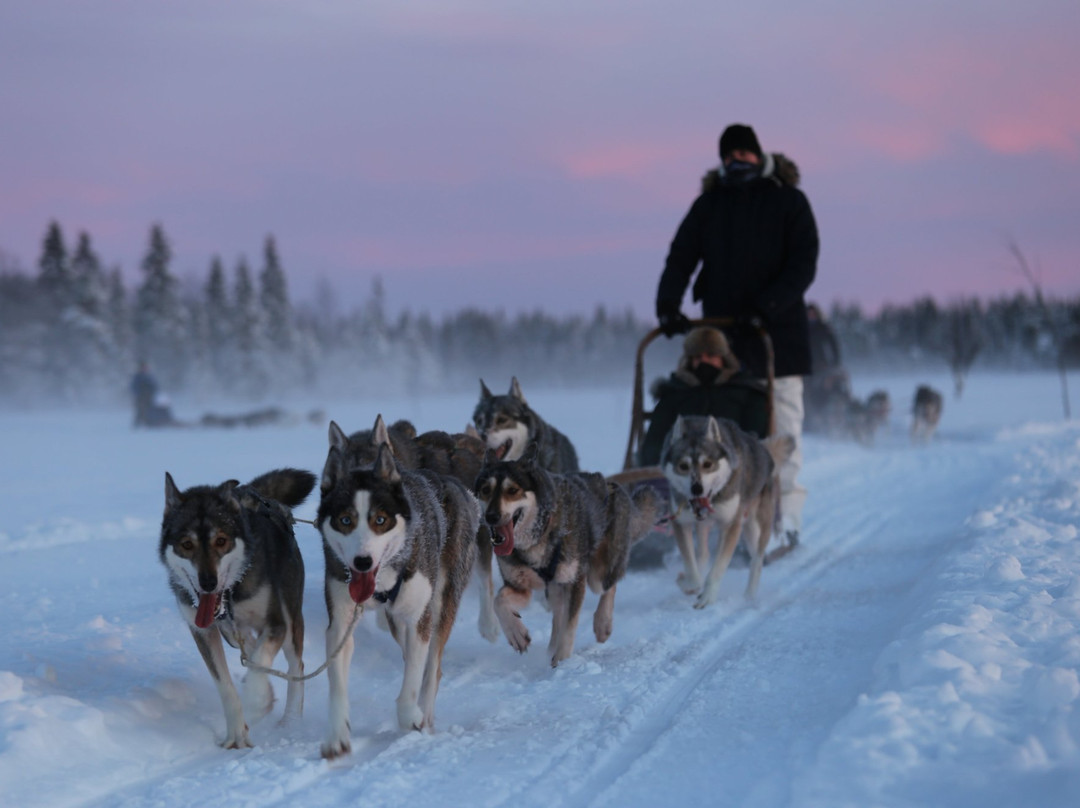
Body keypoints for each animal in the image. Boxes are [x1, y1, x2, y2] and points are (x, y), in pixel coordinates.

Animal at [158, 470, 315, 747]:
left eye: (221, 541)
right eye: (186, 544)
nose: (207, 582)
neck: (232, 595)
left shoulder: (276, 623)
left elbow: (260, 661)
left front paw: (257, 700)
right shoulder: (204, 631)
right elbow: (225, 684)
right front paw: (236, 734)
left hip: (291, 616)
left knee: (296, 666)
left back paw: (291, 720)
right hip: (230, 633)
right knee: (250, 647)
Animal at [315, 436, 477, 756]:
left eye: (380, 520)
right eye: (345, 520)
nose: (362, 561)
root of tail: (451, 482)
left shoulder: (419, 619)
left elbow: (413, 678)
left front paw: (411, 715)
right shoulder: (341, 622)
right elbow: (337, 682)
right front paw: (337, 734)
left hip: (442, 601)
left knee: (432, 667)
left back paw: (425, 714)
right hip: (394, 620)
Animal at [477, 445, 660, 665]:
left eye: (512, 490)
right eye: (485, 490)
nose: (491, 516)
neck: (538, 537)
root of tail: (612, 485)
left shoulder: (574, 581)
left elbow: (570, 625)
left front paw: (563, 661)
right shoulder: (519, 586)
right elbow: (499, 601)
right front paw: (516, 633)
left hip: (597, 575)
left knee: (608, 587)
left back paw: (602, 623)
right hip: (556, 588)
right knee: (558, 614)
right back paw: (551, 647)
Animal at [656, 416, 794, 604]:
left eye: (708, 464)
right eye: (683, 466)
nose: (696, 489)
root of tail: (764, 449)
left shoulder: (731, 525)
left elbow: (718, 567)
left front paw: (708, 596)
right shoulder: (681, 522)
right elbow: (692, 568)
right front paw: (689, 584)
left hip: (756, 526)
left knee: (757, 561)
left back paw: (749, 596)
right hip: (710, 526)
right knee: (704, 554)